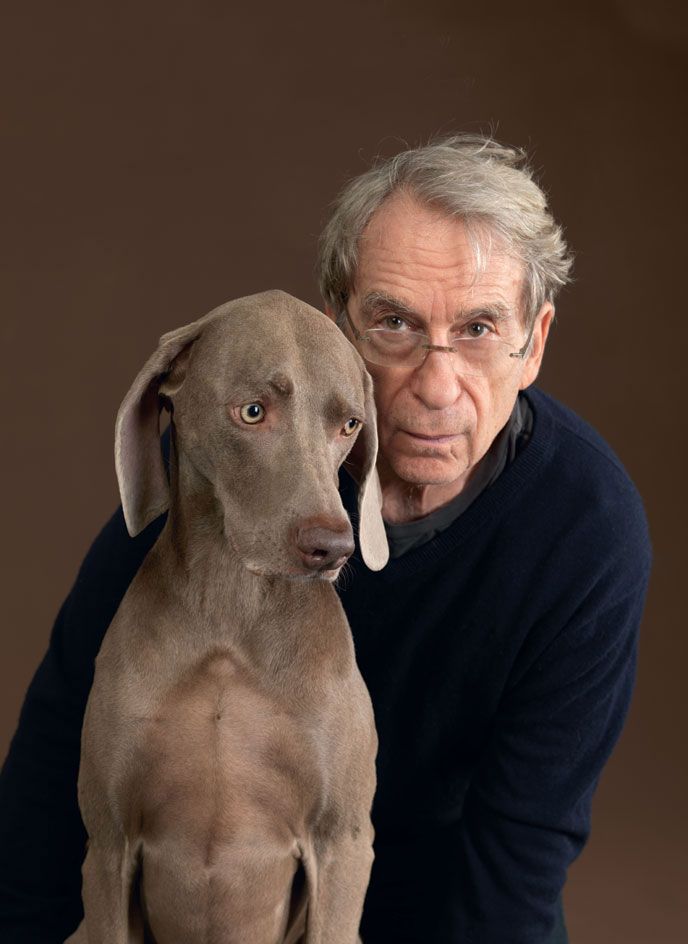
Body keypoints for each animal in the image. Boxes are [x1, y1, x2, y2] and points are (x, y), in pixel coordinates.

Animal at [66, 292, 390, 944]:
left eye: (348, 425)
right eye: (252, 411)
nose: (334, 547)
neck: (230, 614)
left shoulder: (342, 841)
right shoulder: (107, 844)